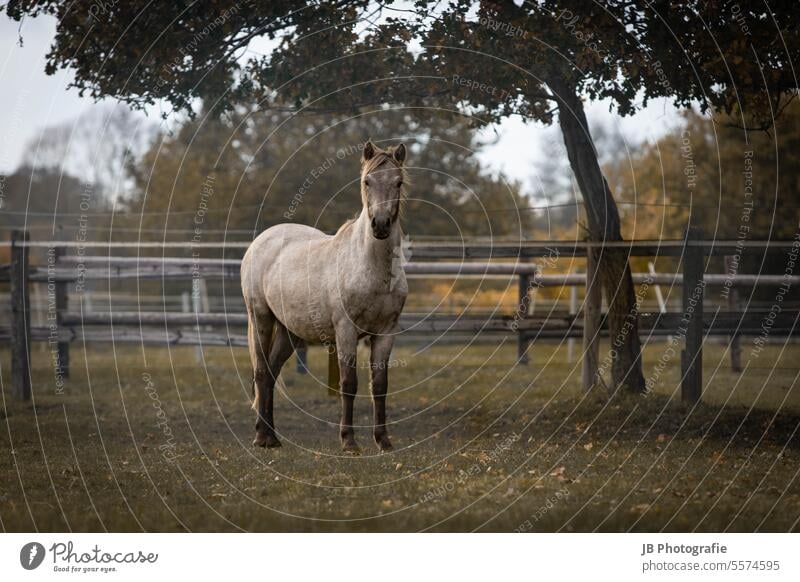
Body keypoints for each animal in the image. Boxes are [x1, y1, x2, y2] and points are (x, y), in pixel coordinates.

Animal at [241, 141, 410, 456]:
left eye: (399, 182)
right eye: (367, 182)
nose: (380, 226)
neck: (371, 267)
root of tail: (261, 240)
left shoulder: (386, 332)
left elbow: (380, 386)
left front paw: (384, 441)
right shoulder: (345, 331)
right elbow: (349, 383)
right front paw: (349, 442)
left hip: (290, 332)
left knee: (271, 373)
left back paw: (272, 438)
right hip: (261, 319)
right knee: (260, 372)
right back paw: (260, 438)